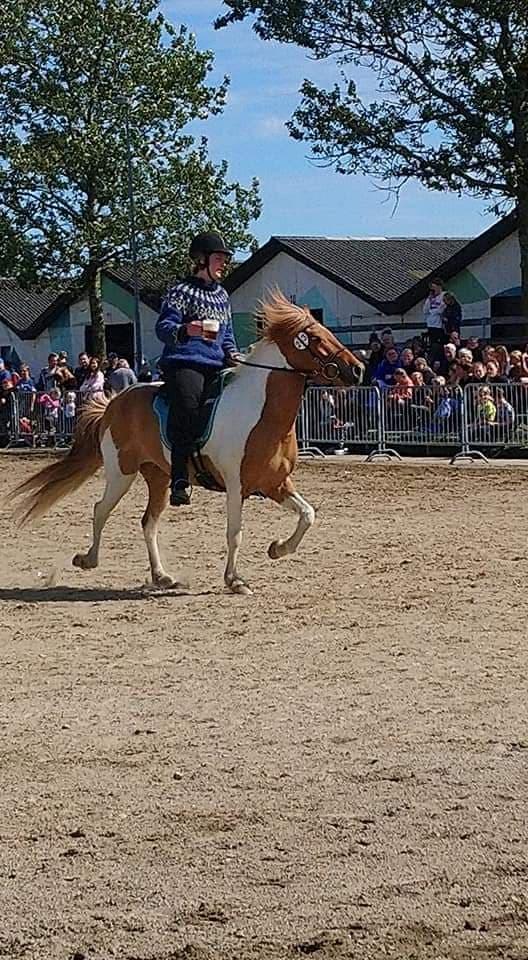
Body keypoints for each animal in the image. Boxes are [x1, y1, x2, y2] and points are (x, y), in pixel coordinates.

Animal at [9, 288, 364, 596]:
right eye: (314, 338)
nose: (358, 369)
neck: (259, 409)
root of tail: (114, 402)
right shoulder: (236, 485)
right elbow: (235, 533)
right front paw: (235, 580)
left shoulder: (275, 483)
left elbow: (308, 514)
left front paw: (277, 549)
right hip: (121, 472)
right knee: (101, 510)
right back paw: (88, 559)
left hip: (158, 476)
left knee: (148, 523)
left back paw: (162, 576)